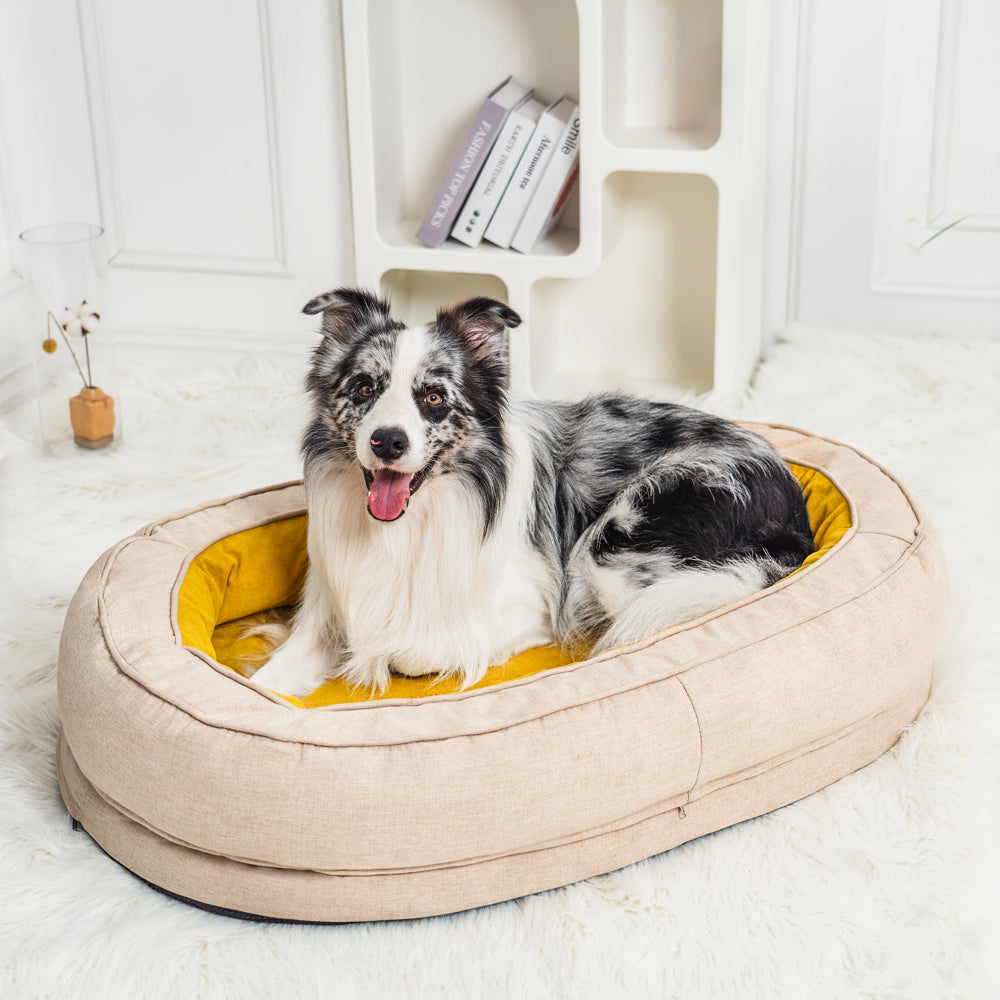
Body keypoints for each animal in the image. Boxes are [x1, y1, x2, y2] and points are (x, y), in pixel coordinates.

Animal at [248, 290, 812, 696]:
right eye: (365, 388)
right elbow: (267, 684)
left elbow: (414, 650)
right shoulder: (329, 603)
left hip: (621, 543)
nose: (387, 441)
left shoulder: (535, 604)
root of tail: (795, 512)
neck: (409, 526)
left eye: (433, 398)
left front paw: (376, 657)